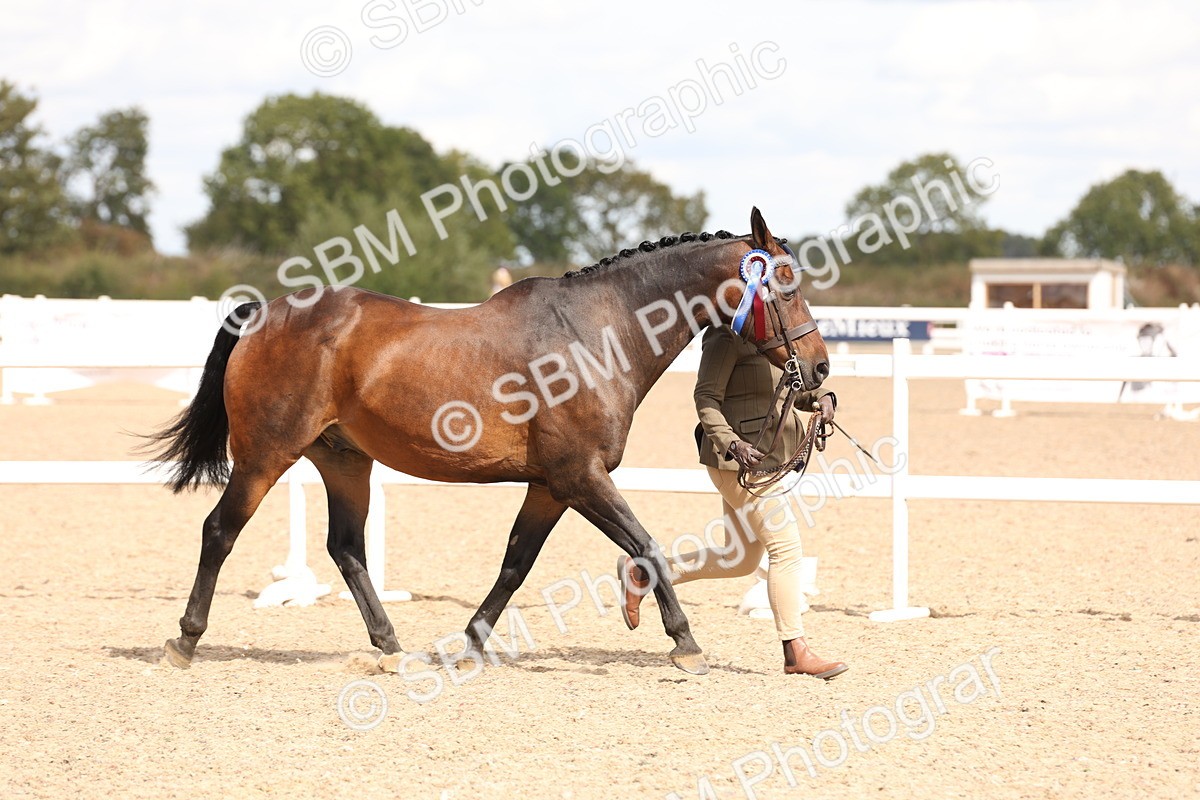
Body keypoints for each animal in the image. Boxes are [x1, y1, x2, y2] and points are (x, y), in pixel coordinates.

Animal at [147, 208, 829, 676]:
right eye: (786, 283)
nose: (820, 370)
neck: (598, 331)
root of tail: (263, 314)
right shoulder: (582, 476)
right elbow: (648, 547)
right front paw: (686, 644)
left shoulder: (551, 487)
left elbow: (515, 564)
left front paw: (472, 642)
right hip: (264, 457)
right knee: (220, 531)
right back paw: (184, 640)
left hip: (344, 460)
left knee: (346, 549)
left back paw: (391, 647)